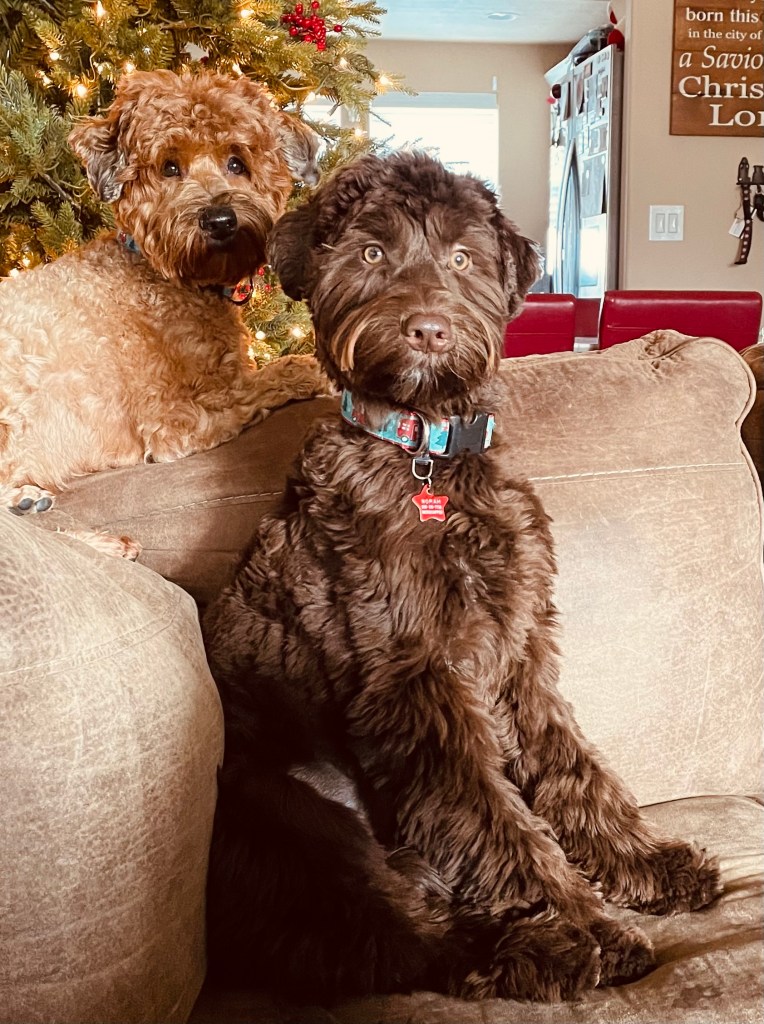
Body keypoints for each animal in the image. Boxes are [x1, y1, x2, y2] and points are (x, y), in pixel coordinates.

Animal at [0, 70, 328, 551]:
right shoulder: (174, 422)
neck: (166, 276)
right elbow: (263, 381)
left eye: (237, 163)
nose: (219, 220)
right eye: (169, 167)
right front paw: (312, 372)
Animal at [201, 151, 722, 1005]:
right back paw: (544, 949)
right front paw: (585, 923)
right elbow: (490, 814)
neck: (428, 454)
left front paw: (645, 861)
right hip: (299, 821)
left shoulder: (517, 653)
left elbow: (573, 769)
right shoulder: (416, 684)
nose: (427, 328)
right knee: (392, 944)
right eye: (372, 252)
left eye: (462, 258)